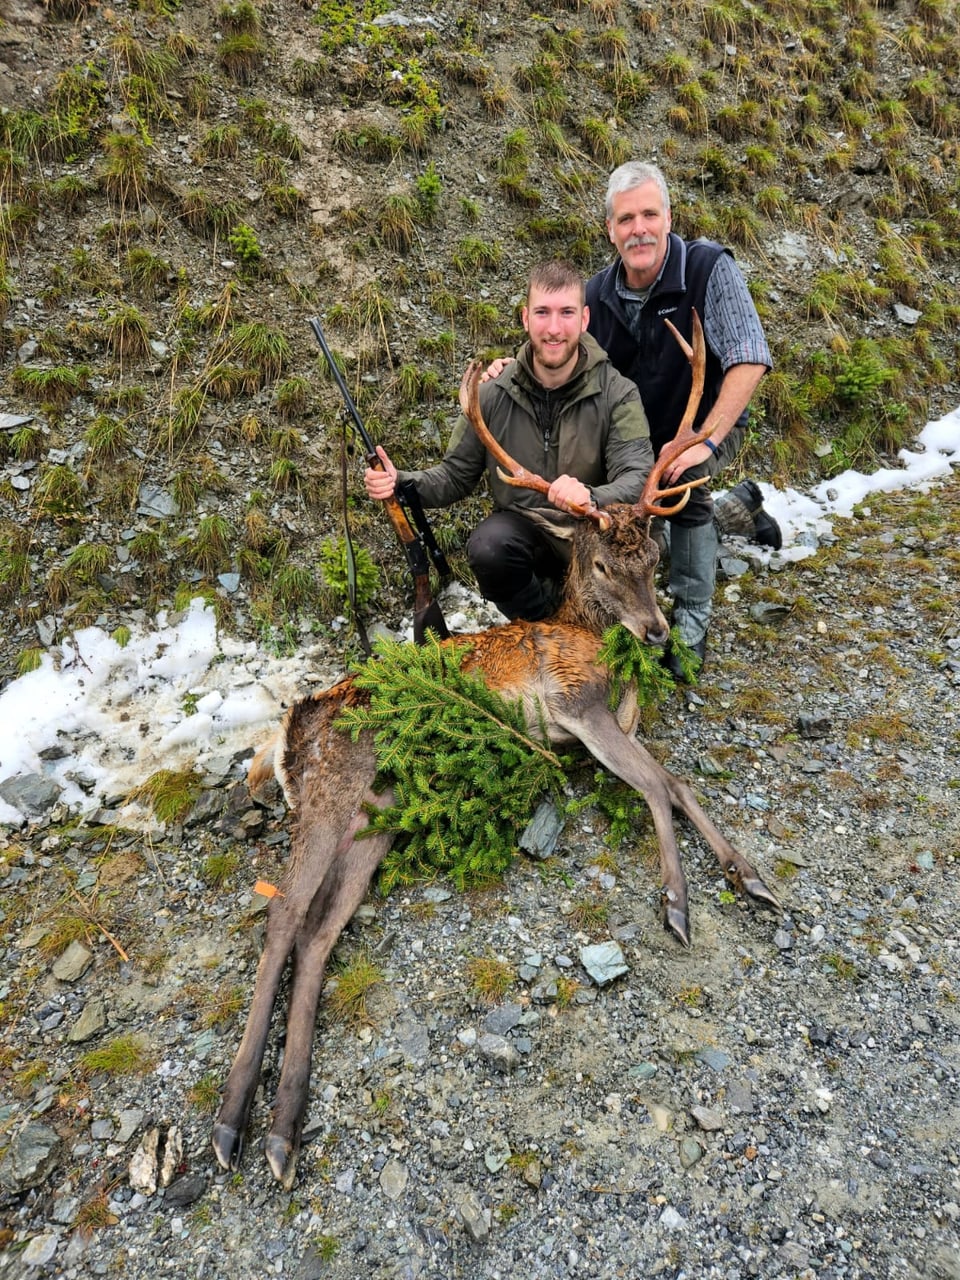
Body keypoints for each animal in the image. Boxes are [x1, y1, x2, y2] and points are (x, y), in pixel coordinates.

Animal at [212, 314, 783, 1182]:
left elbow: (680, 785)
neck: (590, 642)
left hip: (375, 820)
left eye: (654, 558)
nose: (656, 632)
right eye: (605, 562)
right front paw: (678, 905)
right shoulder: (577, 712)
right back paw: (228, 1126)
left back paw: (283, 1129)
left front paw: (752, 879)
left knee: (319, 930)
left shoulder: (611, 721)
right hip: (334, 792)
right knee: (282, 916)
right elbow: (660, 786)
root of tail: (285, 734)